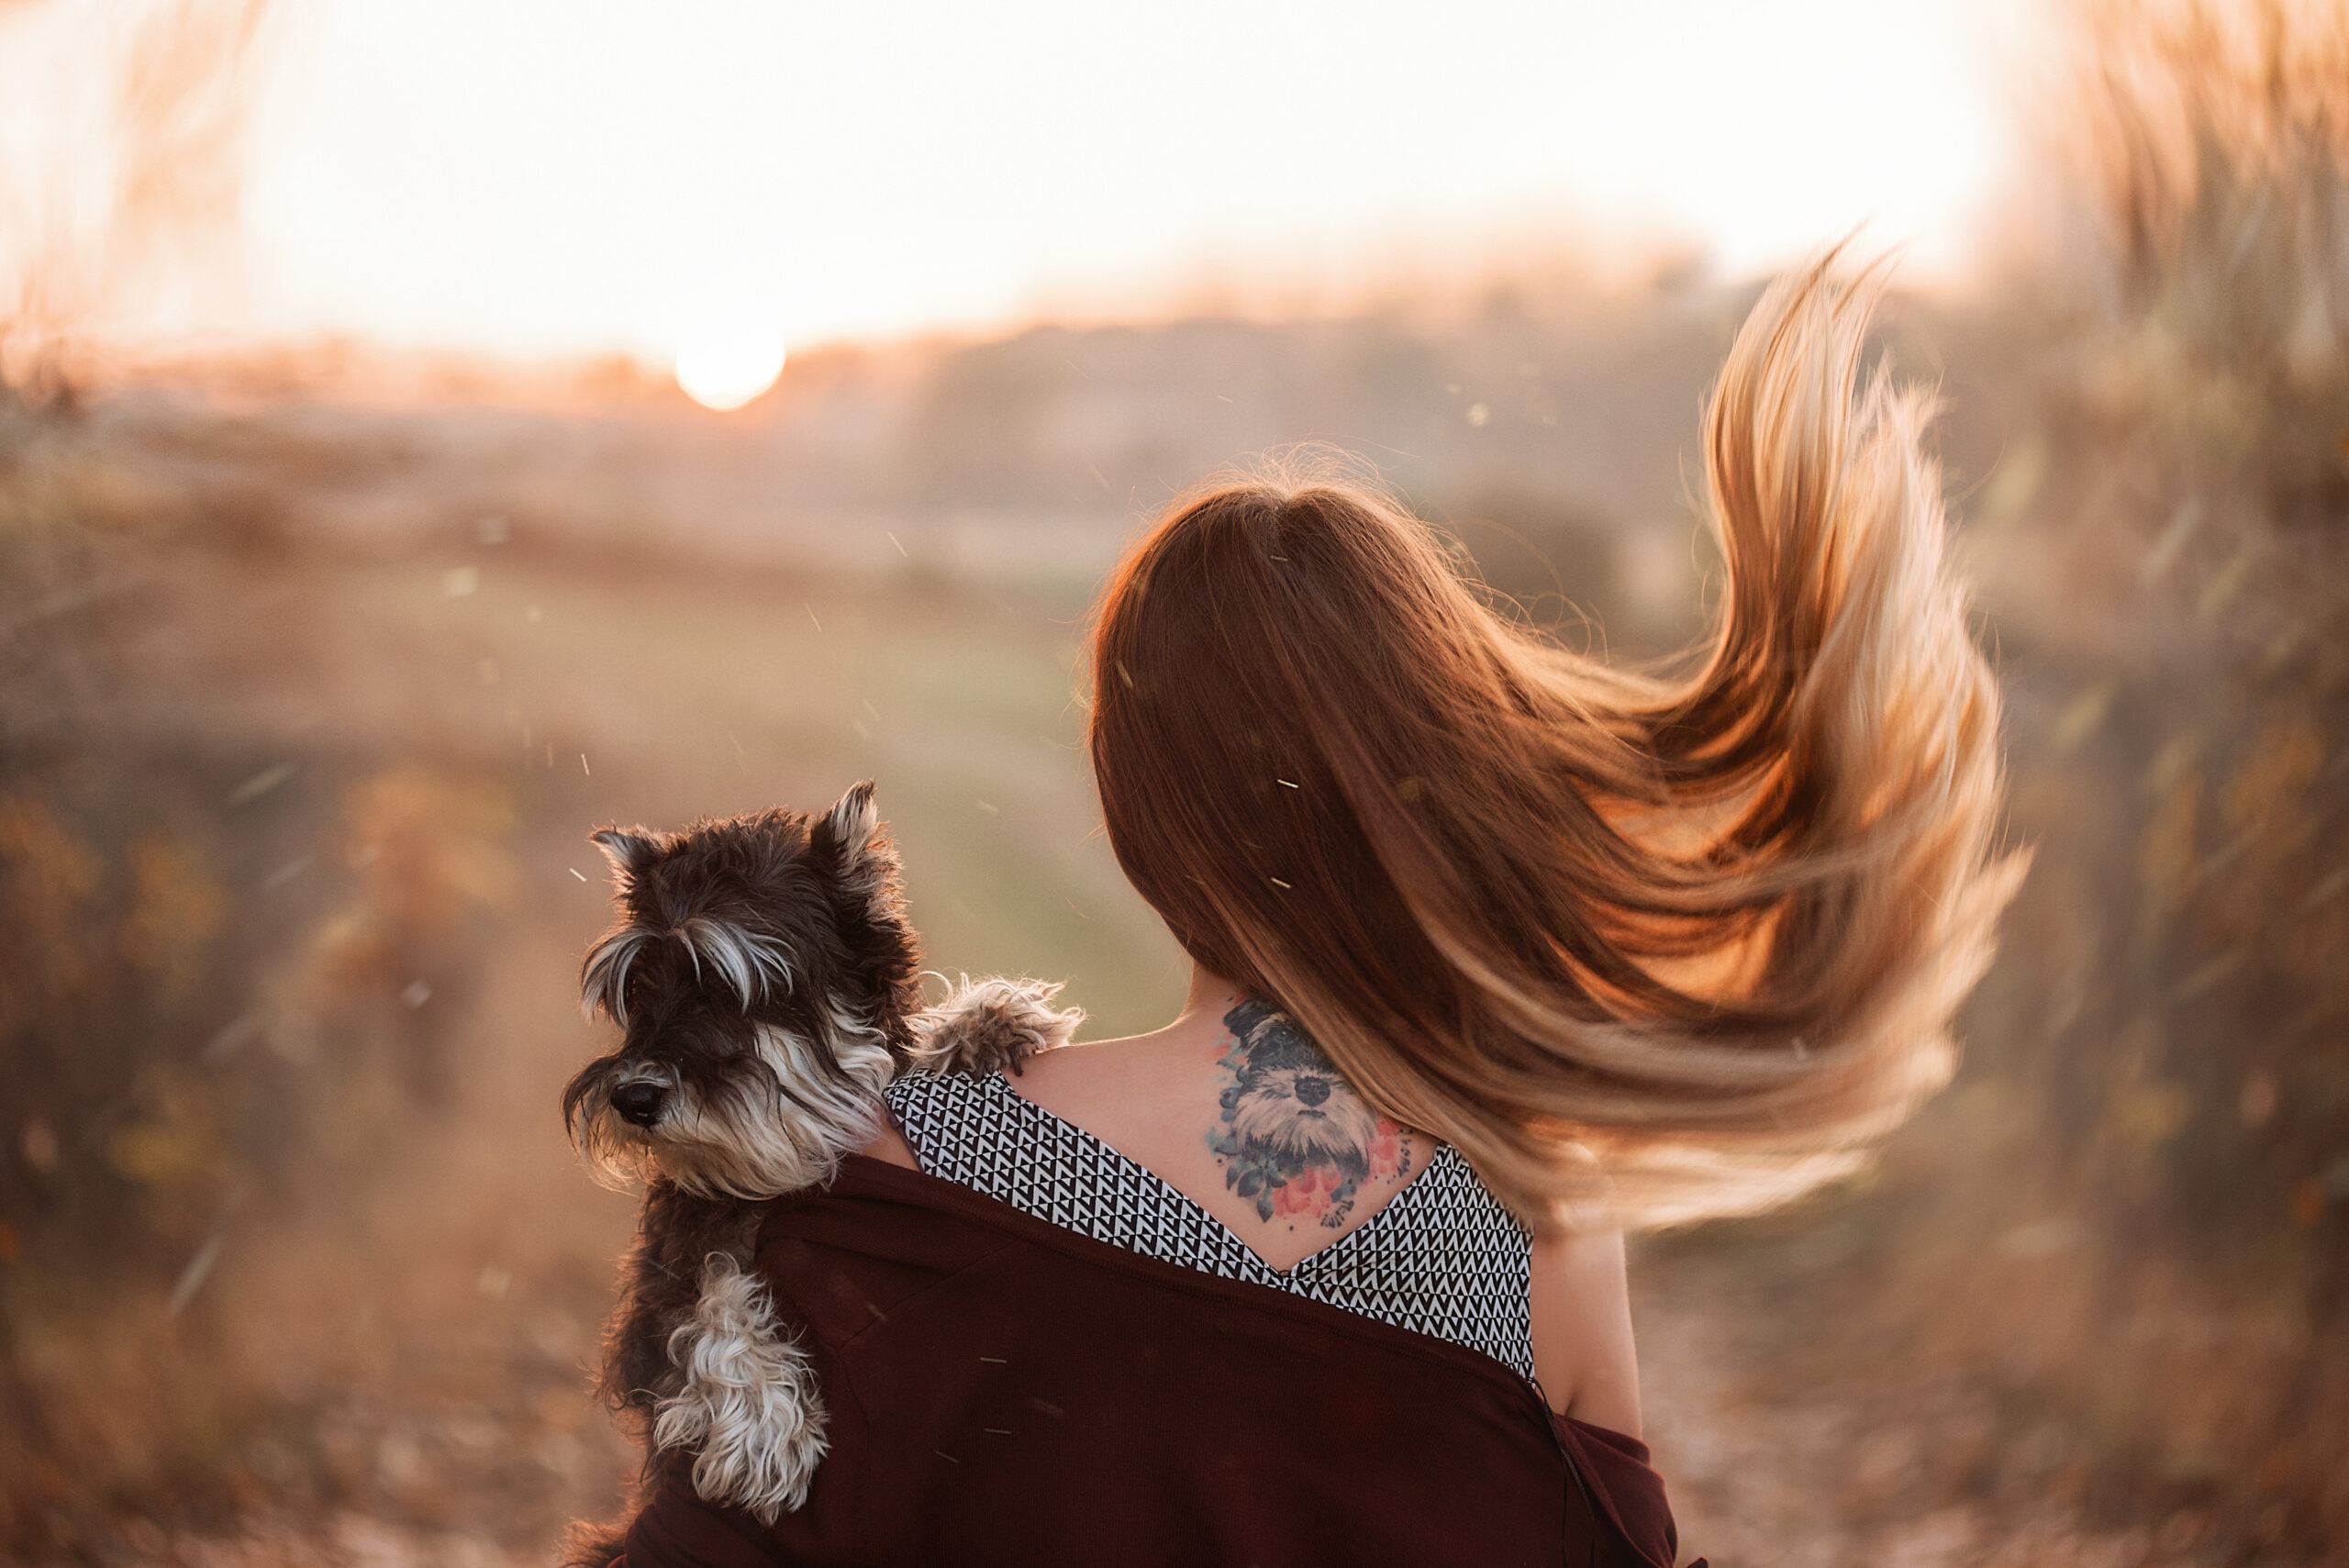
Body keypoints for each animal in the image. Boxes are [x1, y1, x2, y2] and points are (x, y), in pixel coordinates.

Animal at [563, 779, 1075, 1558]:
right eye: (642, 988)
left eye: (728, 988)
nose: (634, 1097)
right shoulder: (661, 1289)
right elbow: (712, 1290)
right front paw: (761, 1424)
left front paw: (984, 1019)